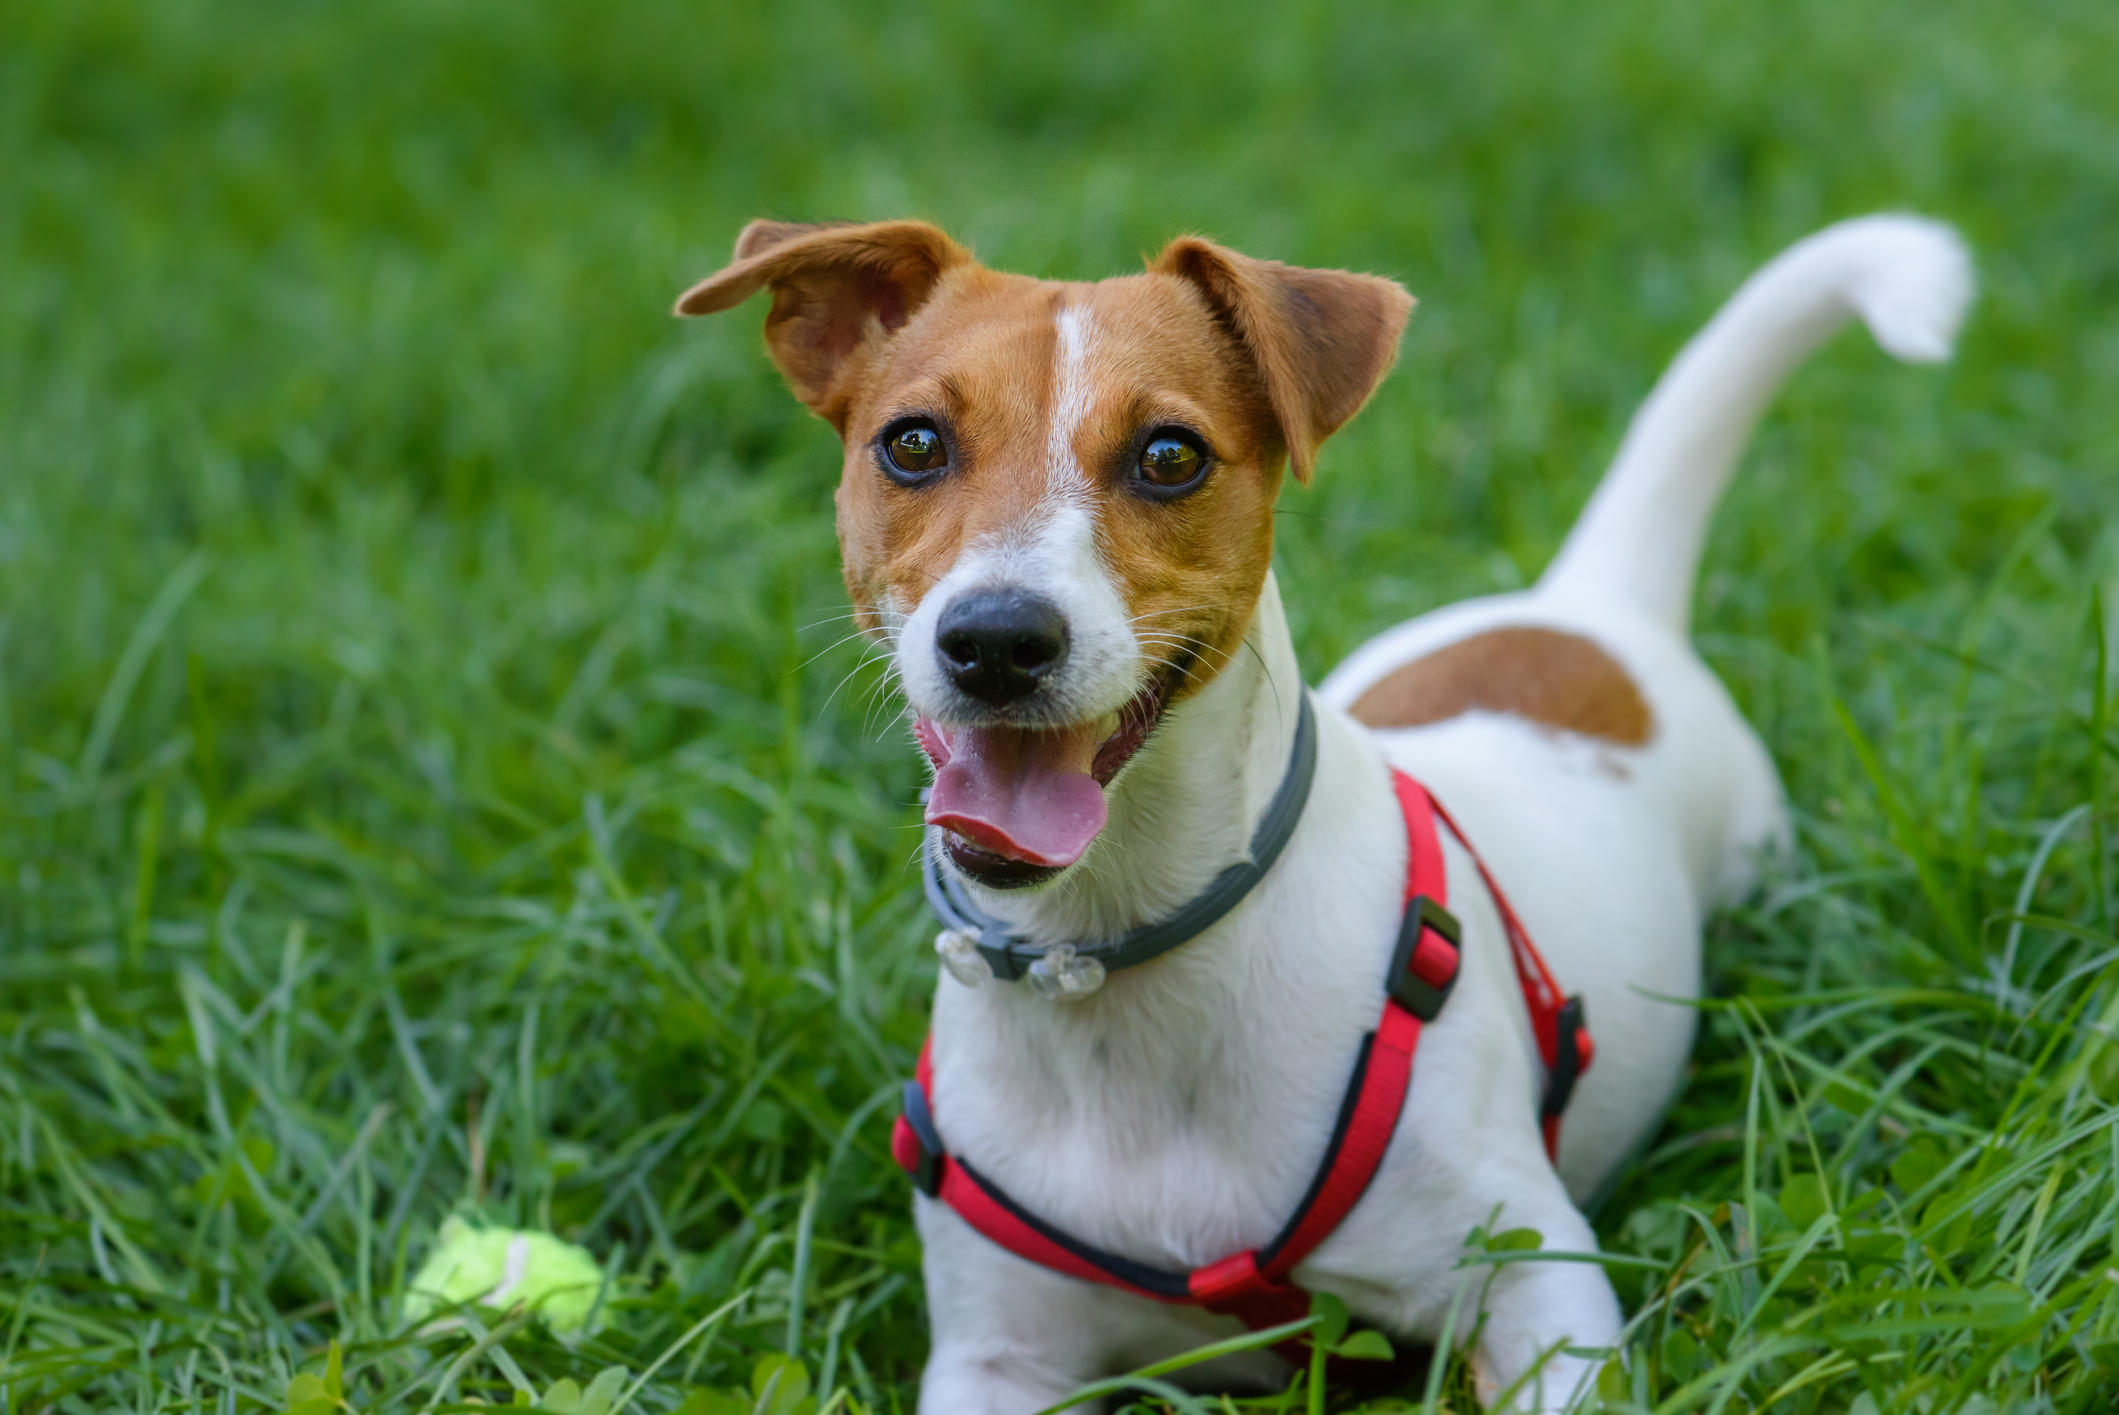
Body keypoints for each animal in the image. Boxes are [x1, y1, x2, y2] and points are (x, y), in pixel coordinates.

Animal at [678, 216, 1966, 1406]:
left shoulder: (1536, 1276)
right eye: (912, 443)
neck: (1110, 954)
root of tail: (1586, 608)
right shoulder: (997, 1352)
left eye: (1168, 454)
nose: (996, 638)